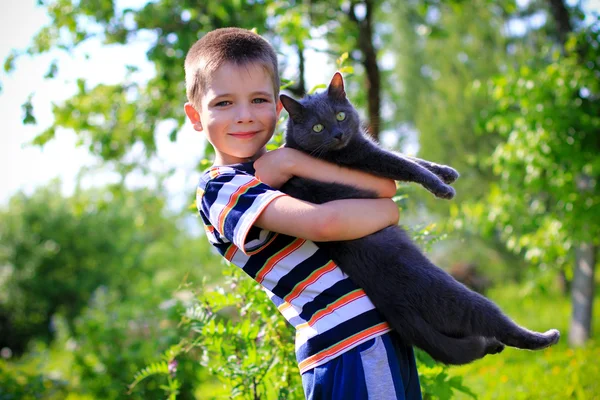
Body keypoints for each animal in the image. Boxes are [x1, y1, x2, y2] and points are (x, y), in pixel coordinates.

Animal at [278, 72, 560, 366]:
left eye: (341, 116)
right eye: (318, 128)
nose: (338, 134)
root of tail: (395, 306)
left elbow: (410, 157)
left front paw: (446, 172)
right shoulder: (365, 155)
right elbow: (404, 164)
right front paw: (442, 188)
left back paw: (495, 345)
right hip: (453, 293)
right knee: (492, 320)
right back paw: (544, 337)